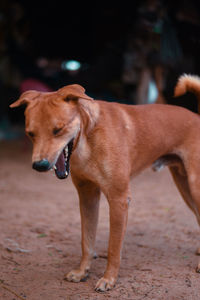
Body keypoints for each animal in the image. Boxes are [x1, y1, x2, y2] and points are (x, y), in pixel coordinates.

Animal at [9, 74, 200, 292]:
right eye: (30, 133)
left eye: (58, 130)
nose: (40, 165)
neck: (88, 138)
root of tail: (197, 116)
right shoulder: (87, 196)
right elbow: (86, 241)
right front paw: (82, 272)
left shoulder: (118, 199)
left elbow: (113, 248)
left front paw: (109, 279)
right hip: (185, 187)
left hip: (194, 187)